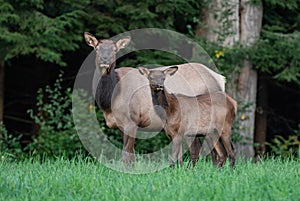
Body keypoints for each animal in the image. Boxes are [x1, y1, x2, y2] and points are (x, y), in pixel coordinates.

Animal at [83, 32, 226, 165]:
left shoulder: (131, 120)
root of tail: (220, 78)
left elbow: (128, 154)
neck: (109, 102)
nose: (105, 60)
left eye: (114, 50)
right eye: (97, 48)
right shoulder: (120, 125)